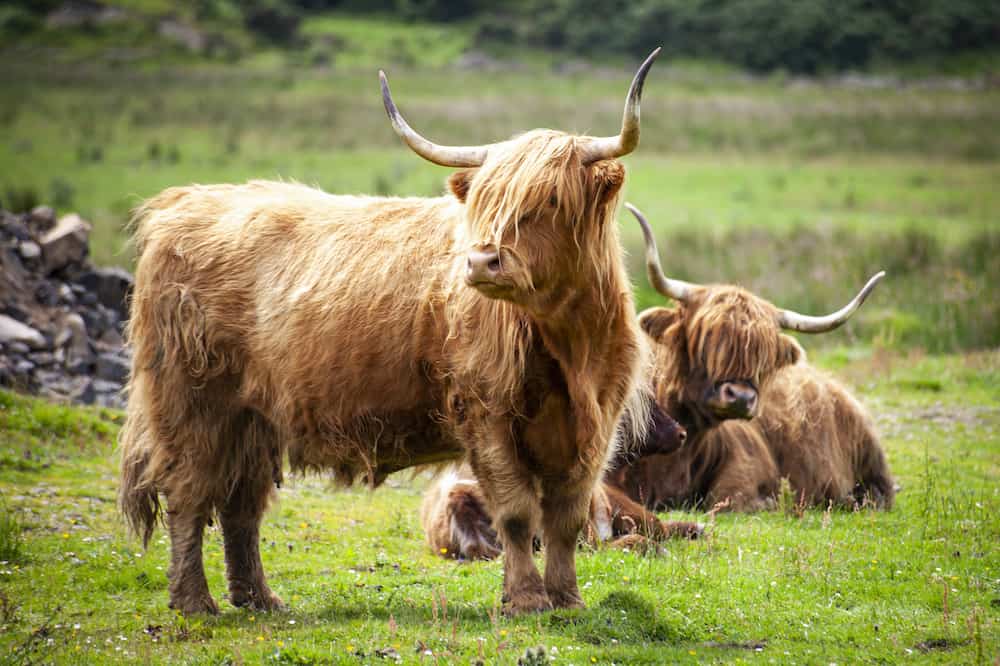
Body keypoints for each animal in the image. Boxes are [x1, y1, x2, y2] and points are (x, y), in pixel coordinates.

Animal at [117, 52, 664, 616]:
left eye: (552, 198)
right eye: (483, 200)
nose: (482, 261)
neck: (568, 346)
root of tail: (180, 204)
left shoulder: (593, 427)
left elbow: (566, 517)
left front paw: (568, 599)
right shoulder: (485, 413)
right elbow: (516, 512)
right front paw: (528, 600)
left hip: (252, 418)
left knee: (241, 504)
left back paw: (259, 599)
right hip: (193, 404)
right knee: (188, 494)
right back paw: (194, 601)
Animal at [612, 205, 896, 510]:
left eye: (763, 355)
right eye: (707, 339)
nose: (740, 397)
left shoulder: (749, 460)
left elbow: (726, 498)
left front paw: (770, 502)